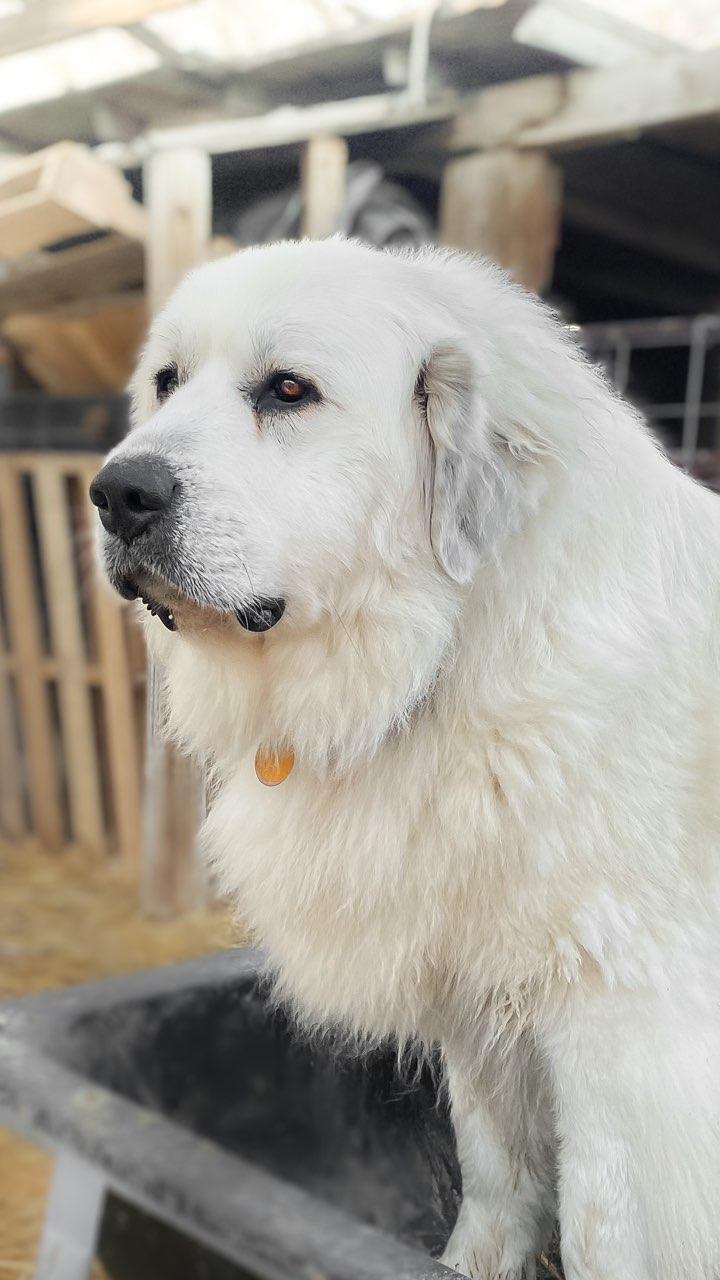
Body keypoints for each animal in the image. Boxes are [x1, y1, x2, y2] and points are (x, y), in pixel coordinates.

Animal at [92, 238, 717, 1280]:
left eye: (289, 390)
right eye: (167, 383)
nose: (116, 494)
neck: (445, 654)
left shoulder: (624, 1029)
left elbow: (601, 1228)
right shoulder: (475, 990)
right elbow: (497, 1174)